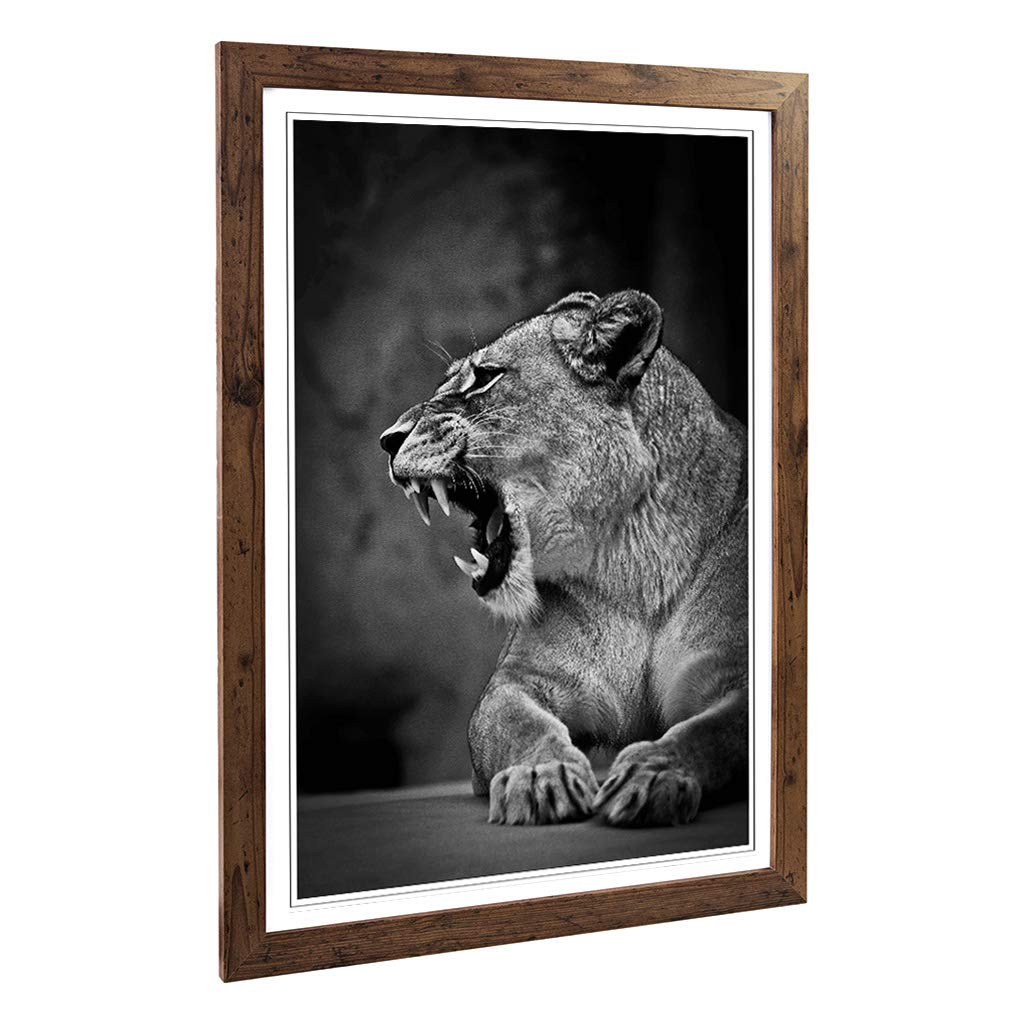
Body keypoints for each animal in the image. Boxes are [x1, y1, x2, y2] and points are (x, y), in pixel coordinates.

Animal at [380, 290, 748, 827]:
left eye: (484, 377)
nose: (386, 439)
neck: (637, 568)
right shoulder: (515, 684)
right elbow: (525, 728)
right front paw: (540, 776)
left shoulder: (734, 676)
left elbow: (711, 734)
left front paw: (655, 773)